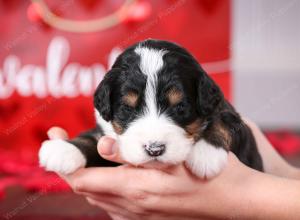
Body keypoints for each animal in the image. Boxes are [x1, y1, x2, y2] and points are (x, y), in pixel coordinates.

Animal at [39, 38, 262, 178]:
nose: (155, 149)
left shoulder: (233, 119)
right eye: (127, 108)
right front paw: (64, 149)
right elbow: (93, 138)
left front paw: (206, 154)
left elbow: (221, 120)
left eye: (180, 107)